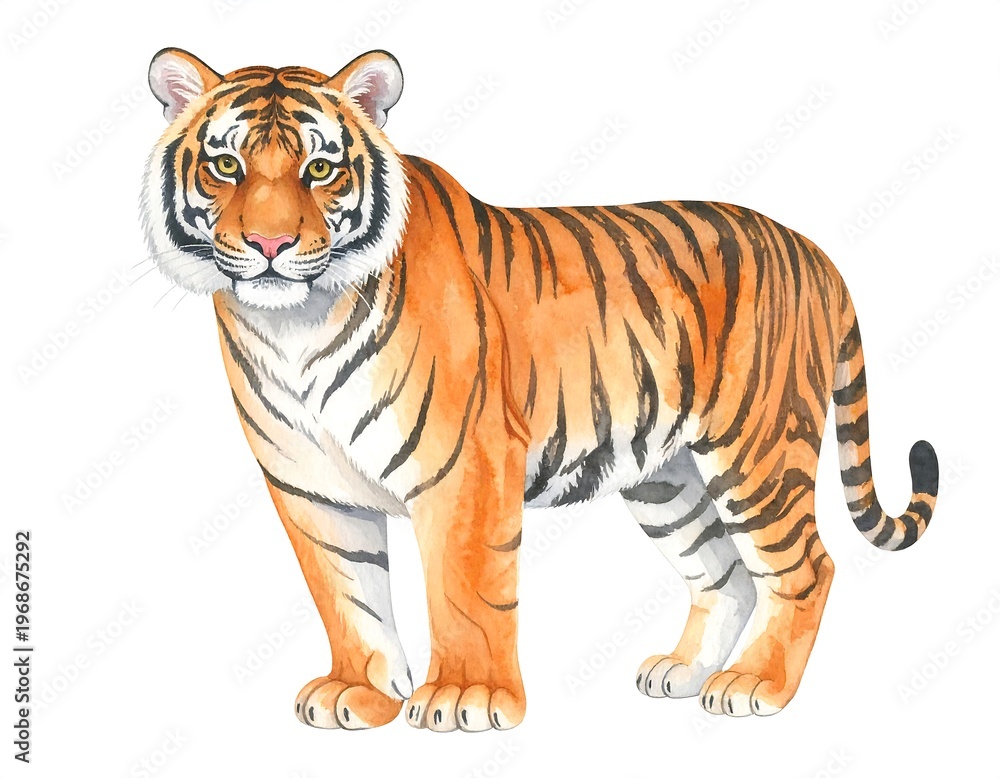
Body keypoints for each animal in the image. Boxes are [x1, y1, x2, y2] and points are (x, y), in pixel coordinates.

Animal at [140, 47, 939, 731]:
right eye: (224, 165)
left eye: (319, 169)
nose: (270, 246)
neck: (294, 325)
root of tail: (814, 251)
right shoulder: (309, 483)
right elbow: (346, 591)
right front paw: (359, 693)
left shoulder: (464, 462)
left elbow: (464, 590)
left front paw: (464, 698)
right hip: (666, 477)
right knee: (725, 575)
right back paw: (682, 673)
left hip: (757, 447)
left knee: (806, 566)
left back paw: (756, 686)